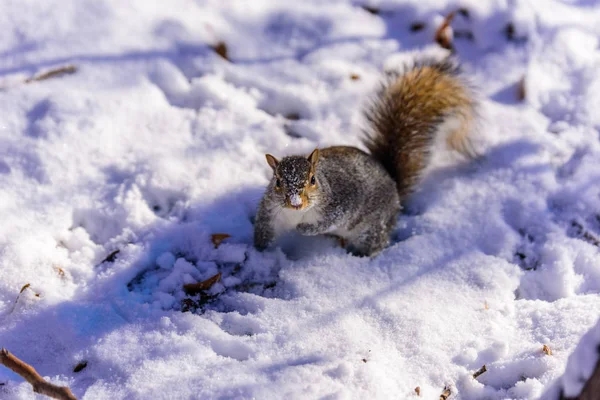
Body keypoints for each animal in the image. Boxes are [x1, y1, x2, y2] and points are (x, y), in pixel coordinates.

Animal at [253, 55, 478, 256]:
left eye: (313, 179)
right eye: (277, 182)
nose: (295, 203)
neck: (297, 215)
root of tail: (394, 185)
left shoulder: (340, 204)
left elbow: (328, 221)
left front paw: (304, 229)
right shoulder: (271, 213)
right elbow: (264, 233)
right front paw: (259, 254)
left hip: (372, 228)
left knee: (374, 244)